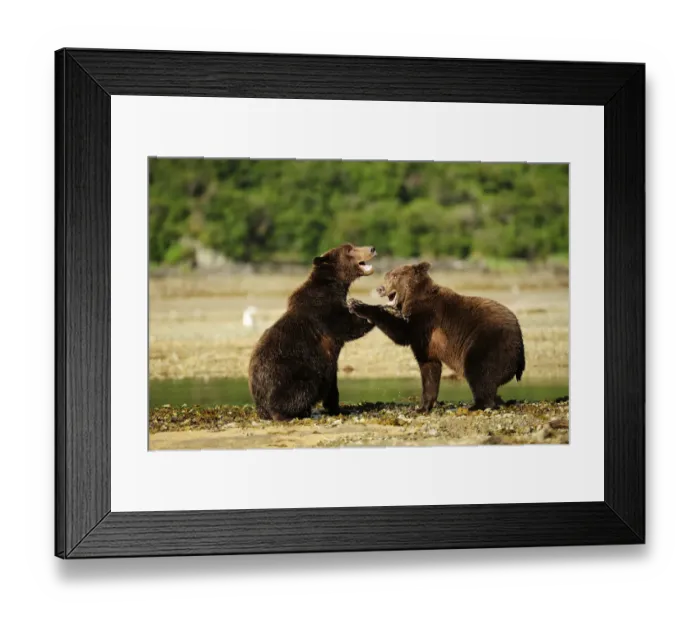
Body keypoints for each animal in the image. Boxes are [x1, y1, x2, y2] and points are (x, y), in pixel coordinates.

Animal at [248, 244, 376, 421]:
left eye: (353, 245)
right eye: (350, 249)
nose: (372, 248)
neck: (335, 285)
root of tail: (260, 405)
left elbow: (332, 384)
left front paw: (338, 408)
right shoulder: (322, 310)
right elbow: (348, 326)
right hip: (290, 373)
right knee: (302, 389)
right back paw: (291, 413)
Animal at [348, 262, 525, 411]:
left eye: (395, 276)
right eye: (387, 275)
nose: (380, 288)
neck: (412, 297)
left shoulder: (427, 318)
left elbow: (402, 332)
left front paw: (358, 304)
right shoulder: (427, 342)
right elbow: (429, 368)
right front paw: (423, 406)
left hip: (488, 342)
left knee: (479, 371)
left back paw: (478, 405)